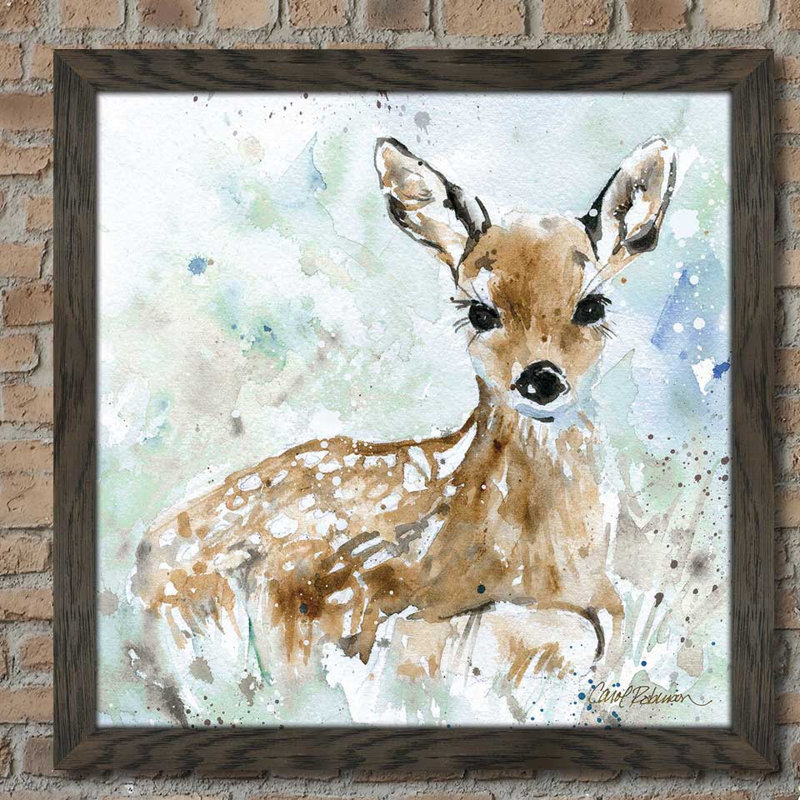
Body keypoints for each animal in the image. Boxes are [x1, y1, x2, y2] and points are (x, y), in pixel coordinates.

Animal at [130, 135, 677, 684]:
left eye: (592, 305)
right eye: (480, 312)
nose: (540, 378)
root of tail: (142, 556)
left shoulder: (603, 603)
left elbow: (606, 631)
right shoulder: (362, 601)